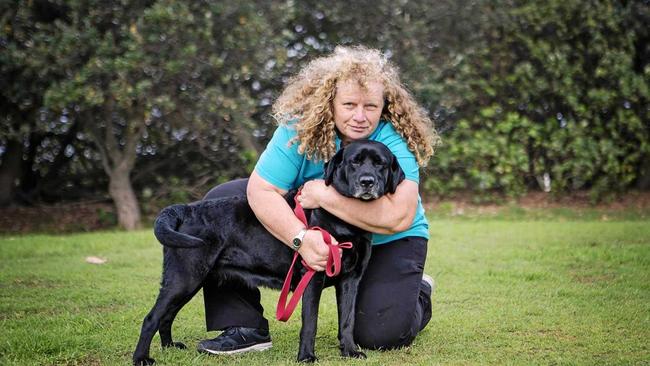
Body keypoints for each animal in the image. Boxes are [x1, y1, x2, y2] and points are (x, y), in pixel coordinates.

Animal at [131, 139, 402, 364]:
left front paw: (350, 351)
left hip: (189, 282)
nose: (367, 182)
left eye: (380, 164)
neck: (343, 221)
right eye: (354, 162)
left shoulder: (350, 280)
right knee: (151, 318)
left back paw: (169, 347)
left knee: (166, 317)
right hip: (184, 279)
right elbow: (310, 323)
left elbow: (347, 320)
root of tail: (185, 209)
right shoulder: (312, 277)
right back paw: (141, 358)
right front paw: (306, 357)